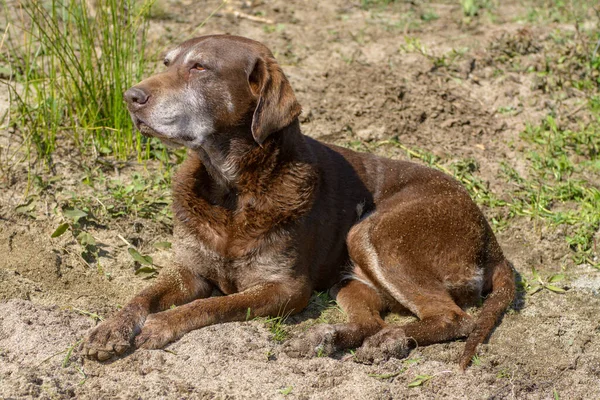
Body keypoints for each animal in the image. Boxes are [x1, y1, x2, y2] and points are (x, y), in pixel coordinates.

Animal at [82, 34, 516, 368]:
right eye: (167, 62)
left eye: (200, 68)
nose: (130, 96)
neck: (232, 188)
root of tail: (492, 240)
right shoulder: (189, 271)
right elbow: (144, 294)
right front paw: (110, 328)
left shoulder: (285, 289)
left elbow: (213, 306)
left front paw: (160, 325)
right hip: (351, 280)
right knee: (372, 322)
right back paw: (324, 338)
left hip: (375, 233)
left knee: (454, 318)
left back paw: (391, 340)